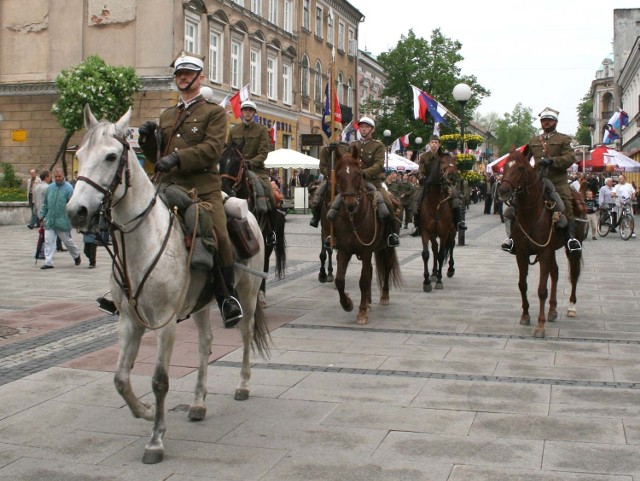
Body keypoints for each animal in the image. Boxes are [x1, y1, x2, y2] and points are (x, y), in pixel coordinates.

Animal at [67, 104, 270, 462]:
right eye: (78, 154)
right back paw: (199, 402)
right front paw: (146, 411)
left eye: (110, 156)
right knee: (205, 344)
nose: (76, 211)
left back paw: (243, 385)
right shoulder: (128, 321)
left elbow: (160, 380)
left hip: (246, 293)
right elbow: (120, 378)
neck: (143, 242)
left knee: (245, 334)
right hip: (202, 303)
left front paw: (156, 439)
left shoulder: (165, 323)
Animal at [219, 144, 286, 304]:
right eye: (220, 161)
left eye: (237, 162)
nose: (224, 187)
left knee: (265, 262)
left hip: (267, 241)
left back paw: (261, 295)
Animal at [330, 144, 400, 324]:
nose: (350, 204)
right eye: (339, 175)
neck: (354, 219)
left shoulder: (366, 250)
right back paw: (368, 302)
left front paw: (361, 312)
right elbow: (339, 280)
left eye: (357, 173)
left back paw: (384, 296)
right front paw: (347, 304)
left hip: (387, 248)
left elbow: (363, 280)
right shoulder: (344, 250)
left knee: (386, 268)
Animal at [418, 154, 458, 290]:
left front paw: (439, 281)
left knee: (451, 245)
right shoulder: (425, 231)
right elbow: (426, 254)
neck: (435, 202)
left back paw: (450, 269)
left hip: (452, 230)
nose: (452, 176)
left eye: (455, 163)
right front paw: (426, 281)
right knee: (435, 248)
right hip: (433, 234)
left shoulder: (444, 232)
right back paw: (434, 273)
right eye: (442, 162)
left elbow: (441, 254)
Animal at [498, 146, 584, 338]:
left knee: (574, 274)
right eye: (505, 166)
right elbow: (522, 285)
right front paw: (525, 316)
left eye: (521, 168)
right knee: (556, 273)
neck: (530, 213)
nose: (503, 190)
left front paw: (540, 325)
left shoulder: (544, 252)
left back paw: (572, 307)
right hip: (551, 250)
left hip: (573, 247)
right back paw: (552, 310)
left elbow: (541, 289)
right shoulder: (522, 253)